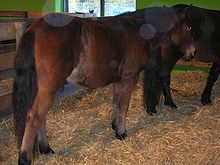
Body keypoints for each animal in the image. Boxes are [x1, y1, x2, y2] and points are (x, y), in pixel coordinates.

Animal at [12, 5, 195, 164]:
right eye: (189, 28)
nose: (192, 53)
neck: (137, 31)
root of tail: (34, 29)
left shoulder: (118, 81)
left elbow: (116, 103)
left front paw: (115, 127)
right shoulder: (129, 78)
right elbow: (123, 106)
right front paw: (121, 133)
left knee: (40, 117)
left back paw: (45, 148)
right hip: (48, 89)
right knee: (34, 118)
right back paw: (25, 157)